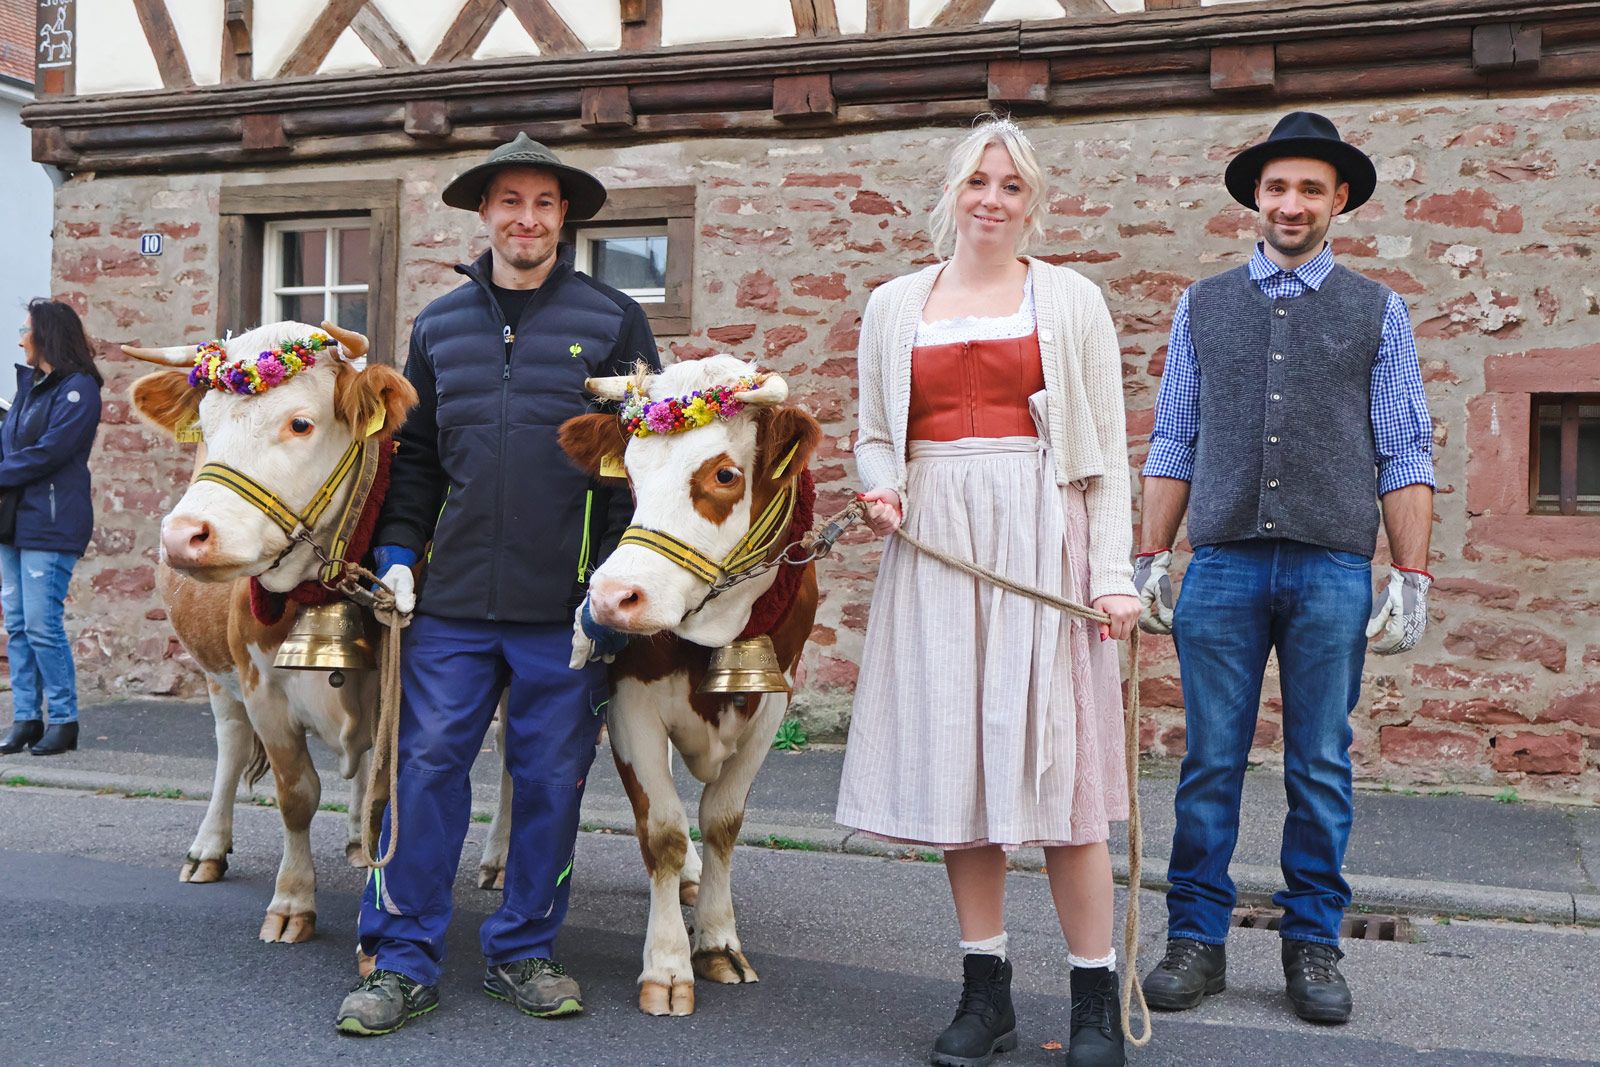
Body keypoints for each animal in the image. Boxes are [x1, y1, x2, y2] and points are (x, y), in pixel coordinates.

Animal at [127, 319, 412, 940]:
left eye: (300, 423)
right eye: (205, 426)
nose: (183, 536)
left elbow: (383, 799)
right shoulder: (263, 693)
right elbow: (297, 795)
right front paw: (292, 900)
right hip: (219, 678)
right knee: (231, 747)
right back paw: (208, 848)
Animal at [556, 355, 819, 1017]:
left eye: (725, 474)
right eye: (630, 474)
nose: (611, 598)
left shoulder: (772, 702)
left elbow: (722, 822)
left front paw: (717, 941)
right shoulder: (628, 702)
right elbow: (664, 831)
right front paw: (670, 965)